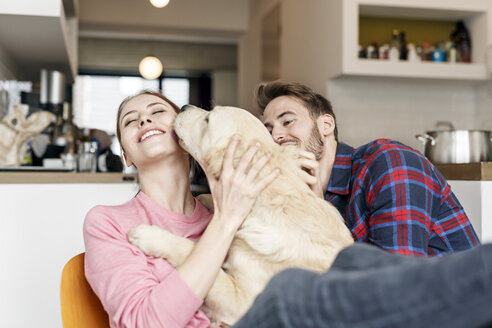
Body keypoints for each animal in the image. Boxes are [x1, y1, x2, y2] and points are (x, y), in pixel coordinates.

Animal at [129, 104, 354, 326]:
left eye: (208, 120)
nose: (184, 106)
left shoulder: (242, 301)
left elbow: (189, 249)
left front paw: (149, 235)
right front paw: (205, 197)